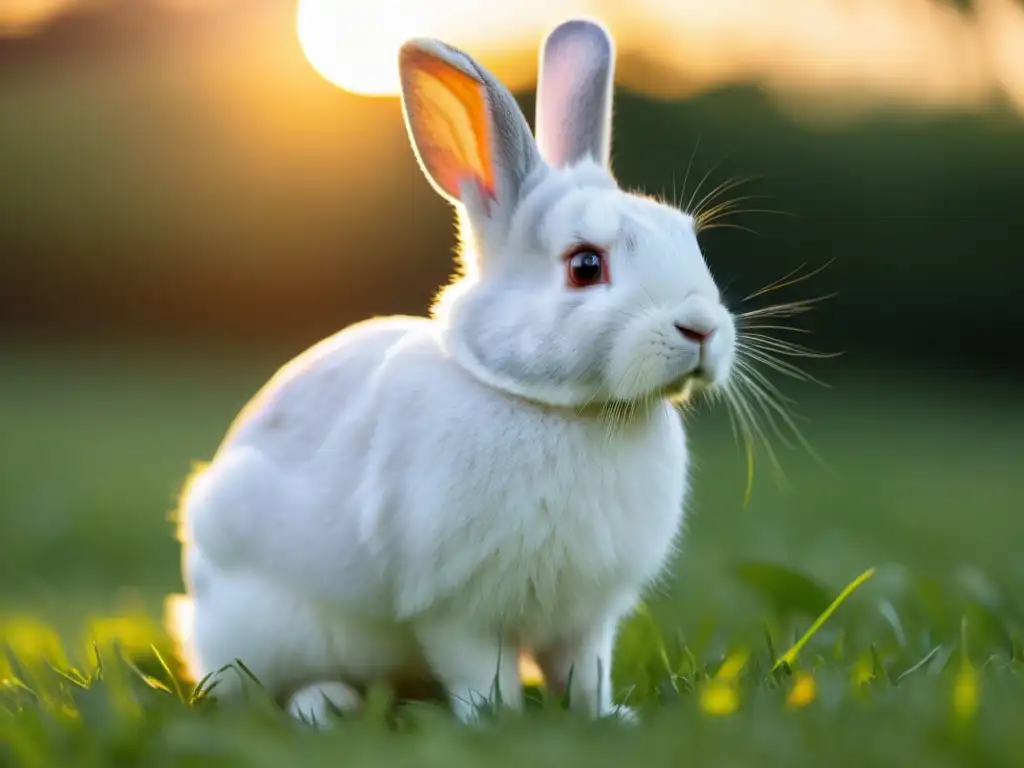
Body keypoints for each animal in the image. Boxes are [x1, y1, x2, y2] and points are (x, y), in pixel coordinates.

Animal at [172, 19, 737, 729]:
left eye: (688, 236)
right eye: (585, 265)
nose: (701, 328)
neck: (557, 408)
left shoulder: (587, 616)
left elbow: (584, 672)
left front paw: (605, 719)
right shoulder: (456, 607)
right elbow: (479, 669)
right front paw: (496, 721)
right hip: (270, 624)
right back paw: (328, 705)